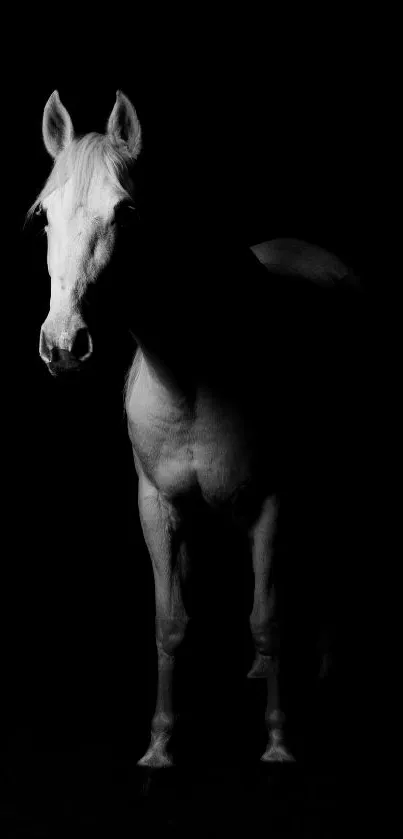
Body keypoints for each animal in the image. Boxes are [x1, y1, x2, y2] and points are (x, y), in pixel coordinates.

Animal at [30, 89, 360, 768]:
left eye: (126, 212)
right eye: (44, 215)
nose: (63, 345)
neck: (192, 375)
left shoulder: (273, 502)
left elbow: (269, 618)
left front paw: (278, 741)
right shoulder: (157, 505)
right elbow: (171, 621)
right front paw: (160, 743)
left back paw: (323, 668)